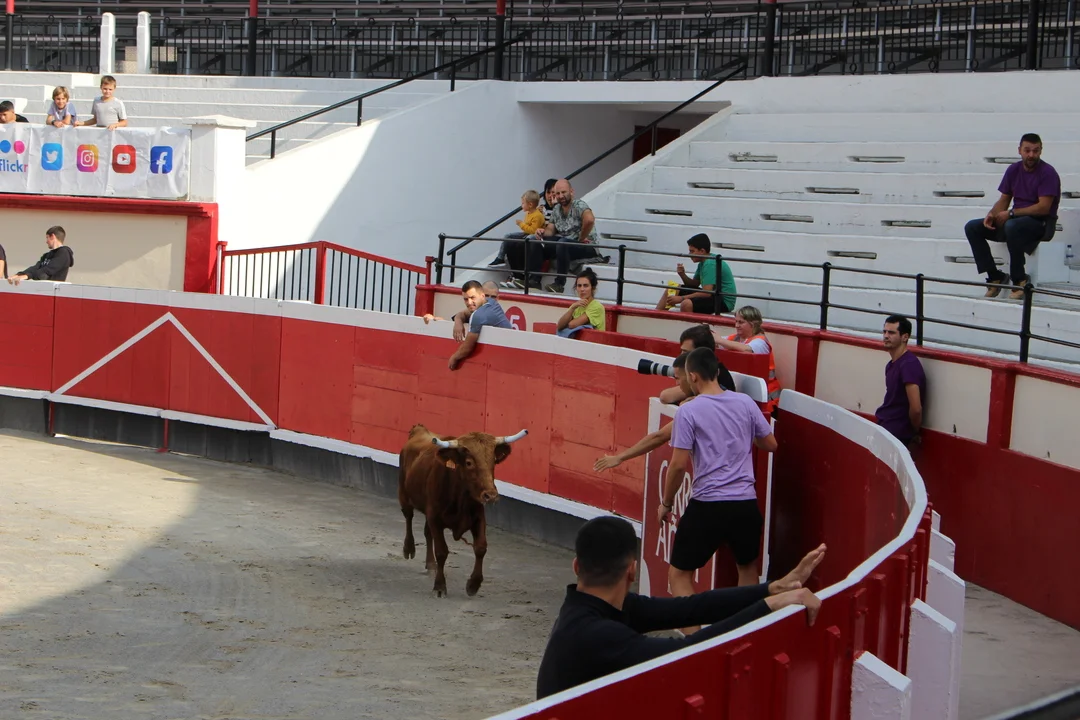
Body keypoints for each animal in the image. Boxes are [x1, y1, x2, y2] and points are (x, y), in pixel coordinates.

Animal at [398, 423, 528, 597]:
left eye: (493, 461)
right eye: (468, 462)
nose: (491, 495)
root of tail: (418, 430)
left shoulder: (478, 517)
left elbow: (481, 547)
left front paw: (473, 585)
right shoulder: (435, 518)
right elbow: (442, 551)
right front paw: (440, 587)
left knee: (427, 533)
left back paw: (431, 565)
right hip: (404, 495)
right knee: (408, 517)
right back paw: (409, 549)